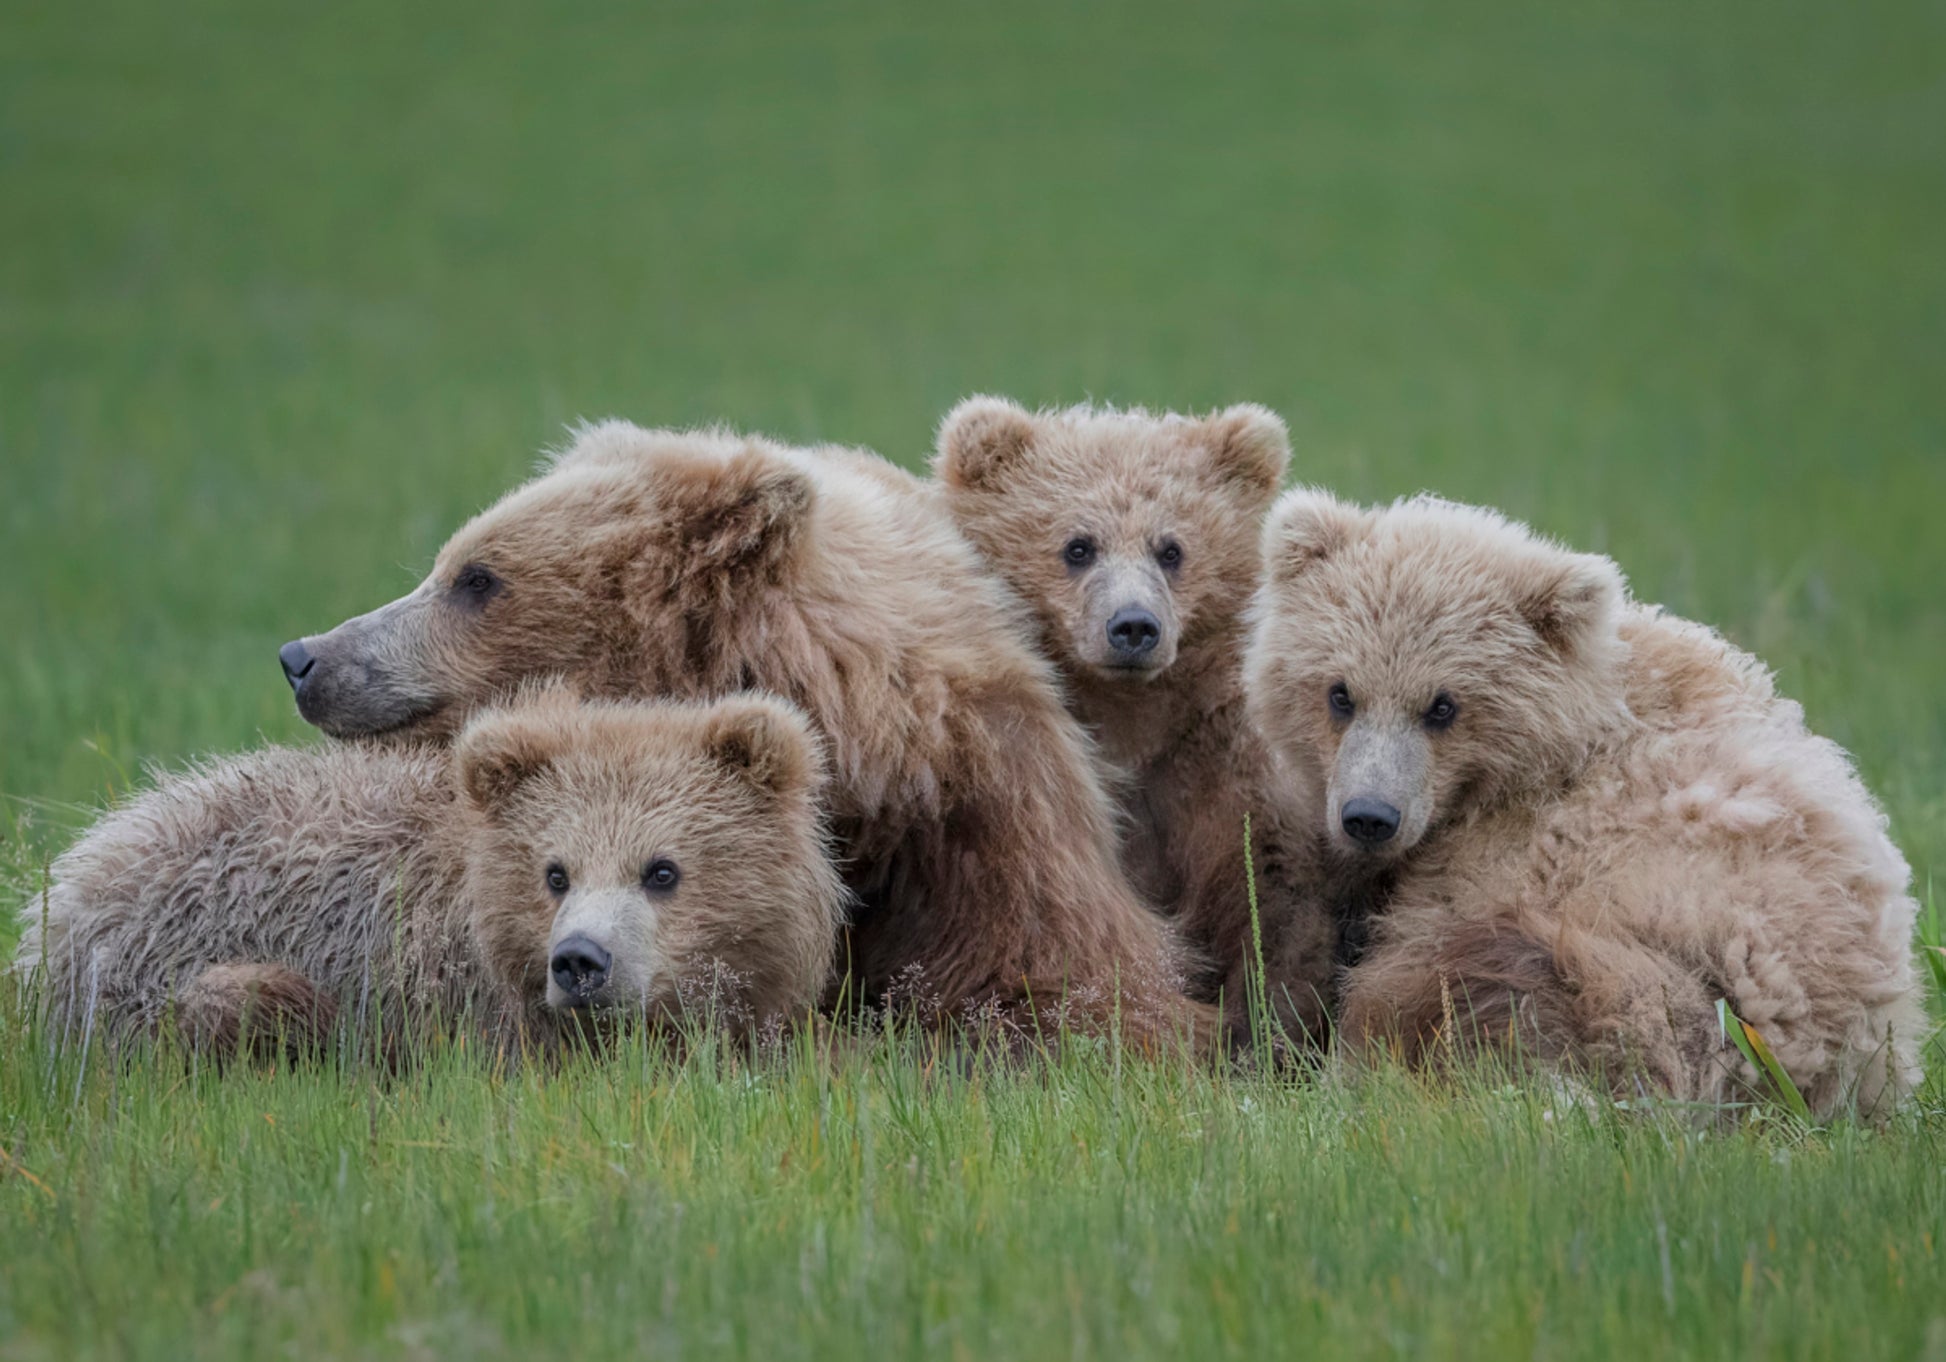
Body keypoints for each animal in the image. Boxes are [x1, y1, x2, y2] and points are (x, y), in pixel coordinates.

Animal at [933, 398, 1339, 1046]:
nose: (1133, 626)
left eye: (1171, 549)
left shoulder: (1212, 758)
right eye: (1078, 546)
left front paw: (1266, 1025)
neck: (1129, 721)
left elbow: (1265, 887)